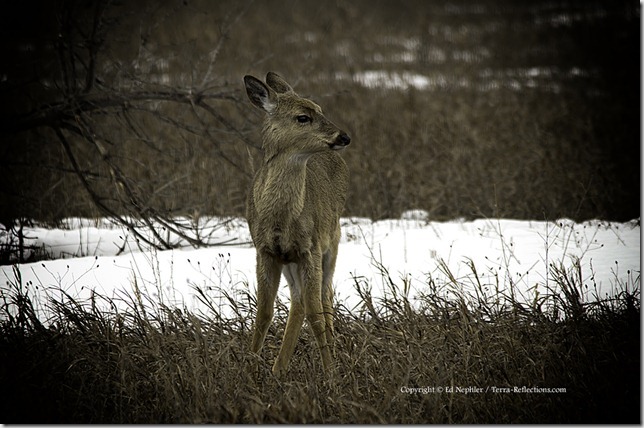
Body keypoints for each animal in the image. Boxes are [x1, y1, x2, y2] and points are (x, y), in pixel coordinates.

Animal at [243, 72, 350, 377]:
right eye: (303, 117)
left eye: (321, 109)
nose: (344, 136)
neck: (280, 219)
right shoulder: (265, 250)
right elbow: (264, 313)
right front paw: (249, 368)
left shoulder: (309, 248)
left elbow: (316, 315)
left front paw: (330, 374)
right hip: (290, 259)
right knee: (298, 301)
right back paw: (279, 367)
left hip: (332, 240)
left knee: (324, 297)